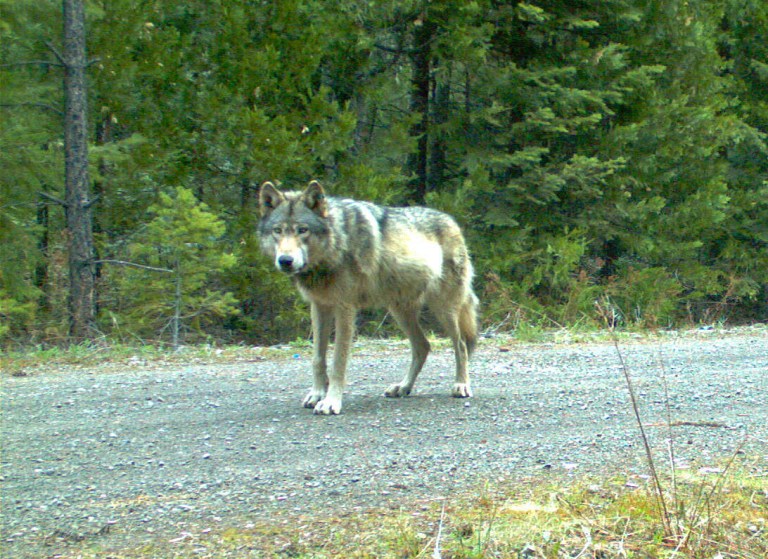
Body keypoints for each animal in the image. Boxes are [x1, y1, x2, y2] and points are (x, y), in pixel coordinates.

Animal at [258, 180, 479, 415]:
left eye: (302, 230)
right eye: (278, 231)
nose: (285, 260)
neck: (337, 243)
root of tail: (452, 221)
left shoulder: (345, 308)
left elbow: (338, 362)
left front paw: (330, 402)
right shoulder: (319, 307)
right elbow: (318, 358)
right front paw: (317, 394)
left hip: (444, 309)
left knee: (461, 345)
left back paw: (461, 385)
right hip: (399, 311)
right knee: (423, 346)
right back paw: (403, 387)